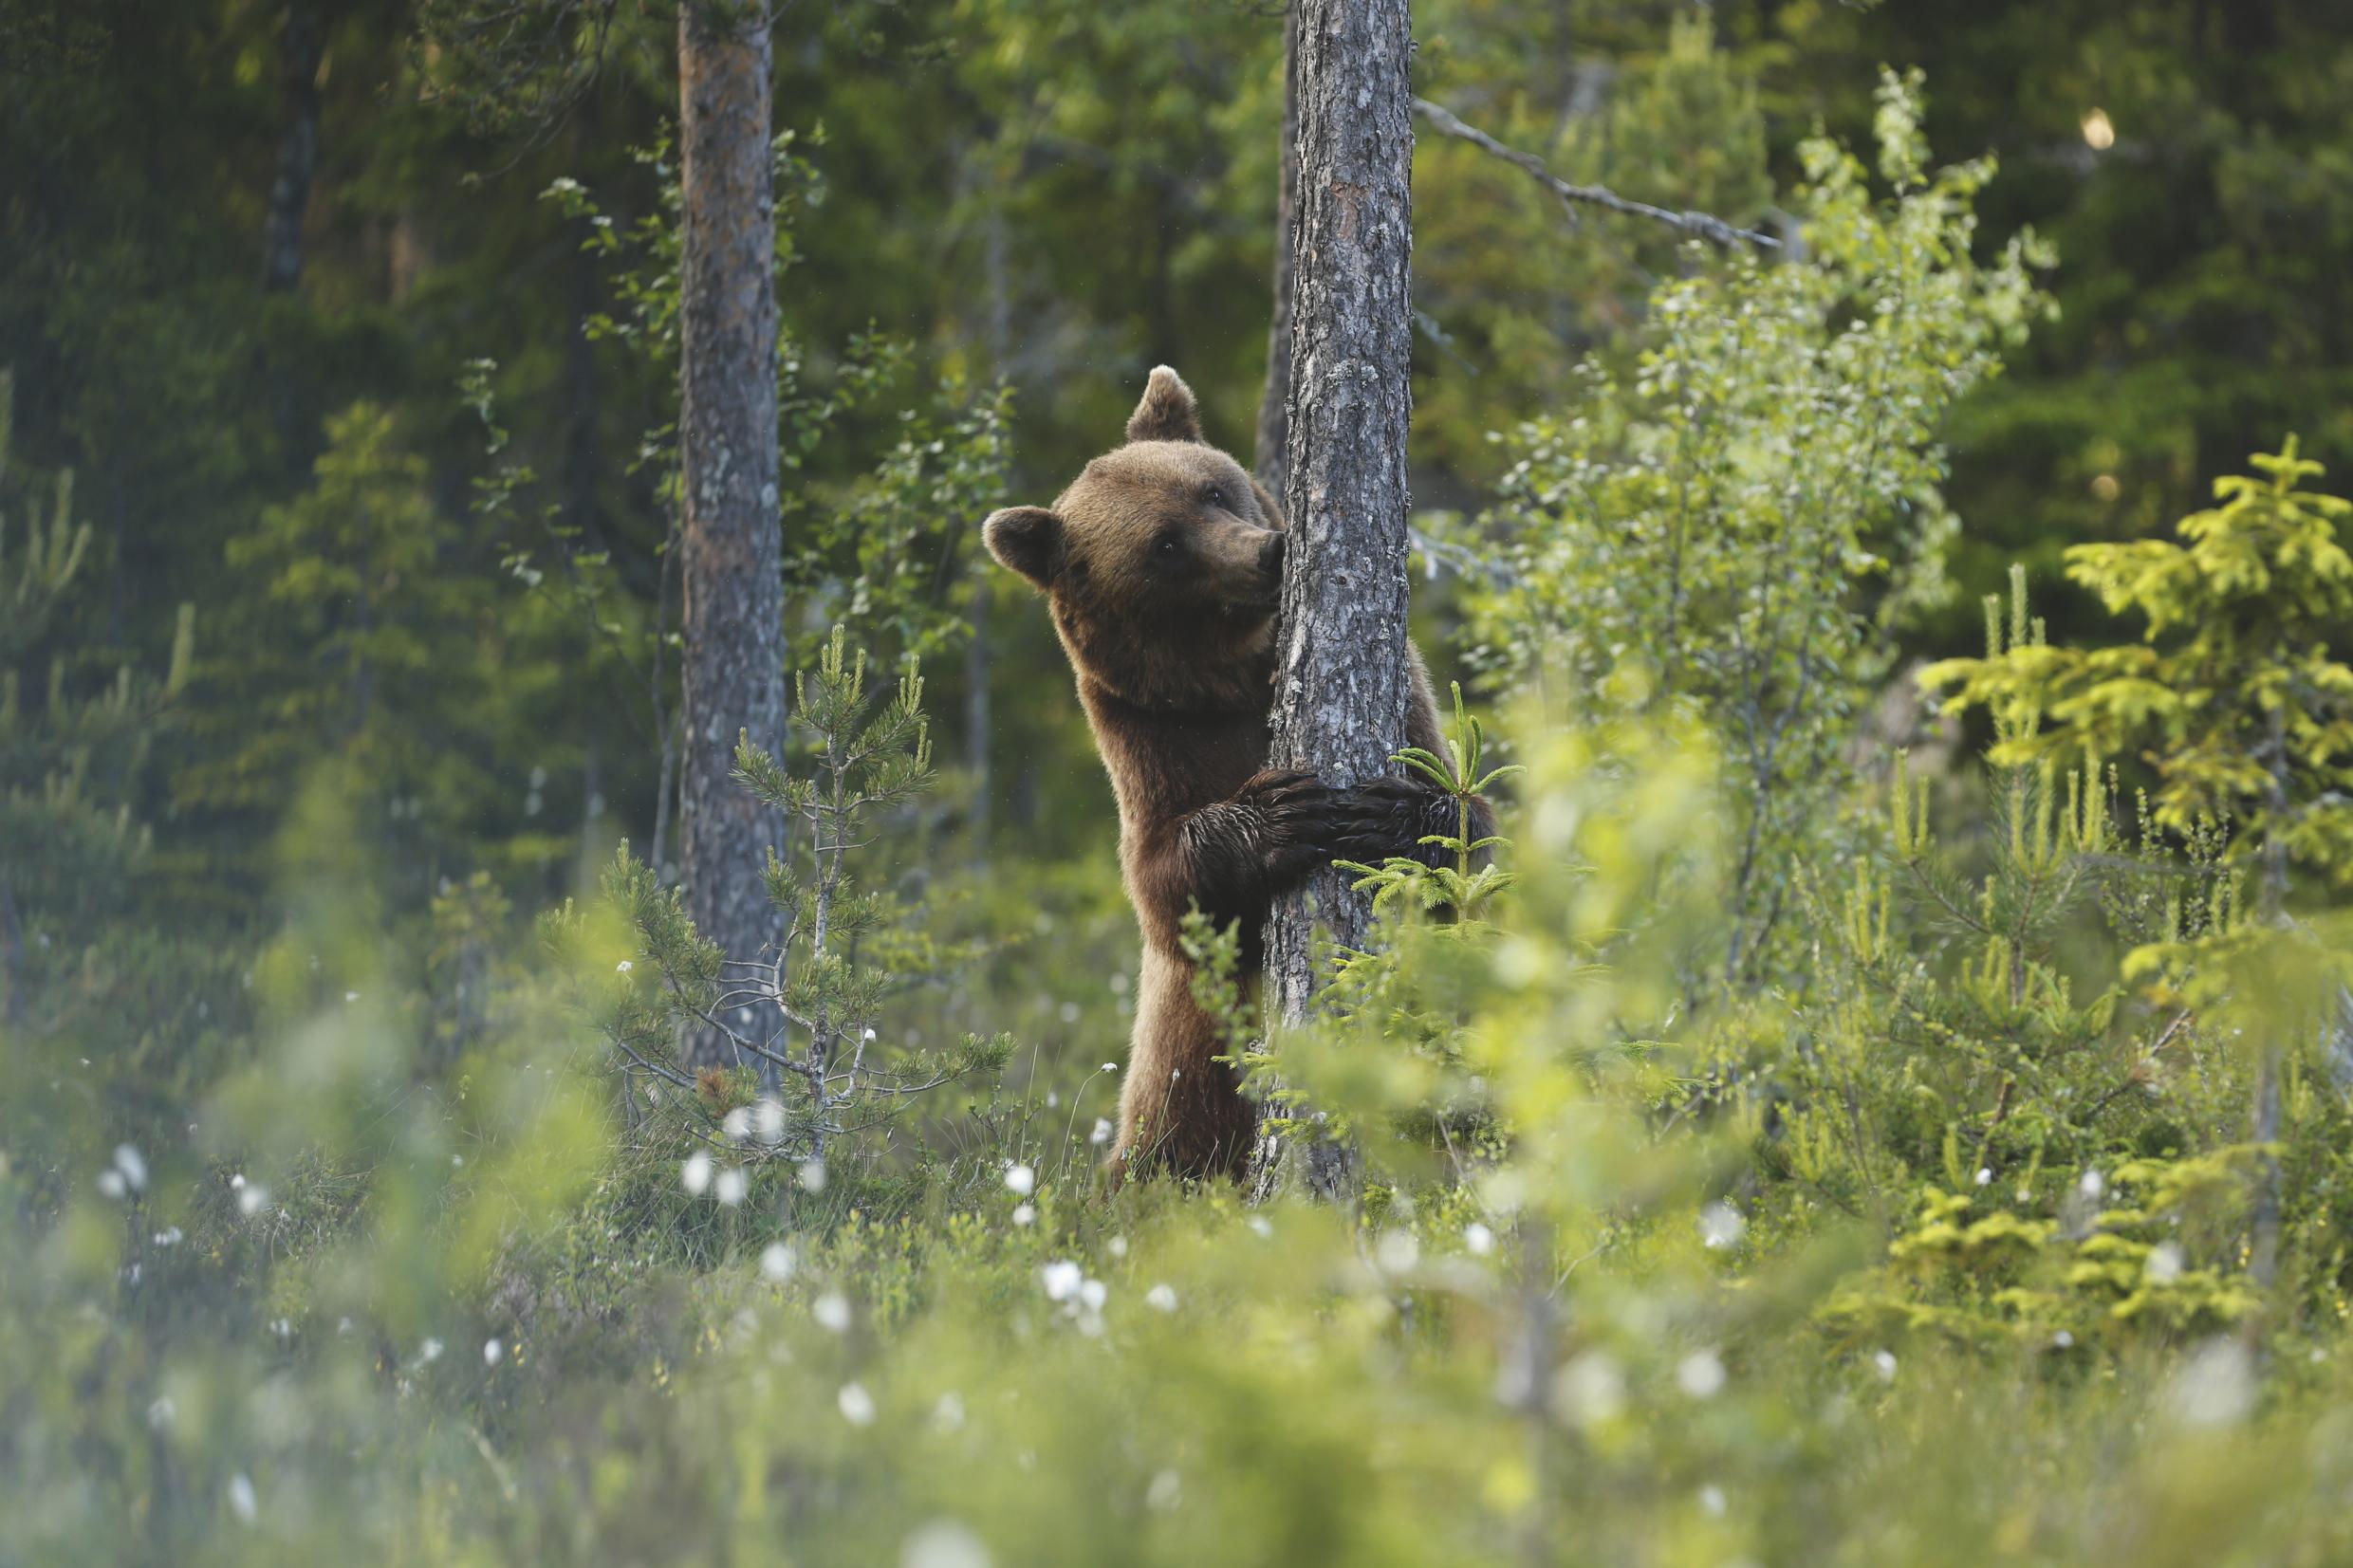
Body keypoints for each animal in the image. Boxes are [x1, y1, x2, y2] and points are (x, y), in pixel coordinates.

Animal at [983, 364, 1477, 1175]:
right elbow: (1165, 887)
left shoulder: (1407, 694)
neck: (1234, 683)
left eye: (1213, 488)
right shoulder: (1153, 741)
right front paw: (1283, 813)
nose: (1267, 553)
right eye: (1165, 544)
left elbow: (1470, 835)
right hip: (1170, 1132)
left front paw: (1388, 812)